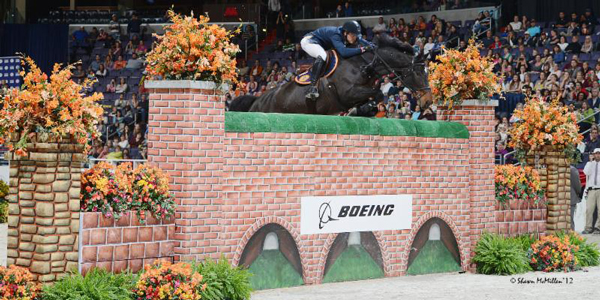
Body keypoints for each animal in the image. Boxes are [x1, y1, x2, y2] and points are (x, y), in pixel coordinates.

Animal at [229, 33, 432, 115]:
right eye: (418, 73)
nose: (428, 101)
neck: (365, 65)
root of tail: (257, 100)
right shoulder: (347, 93)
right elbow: (378, 94)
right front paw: (359, 110)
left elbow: (377, 97)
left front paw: (362, 110)